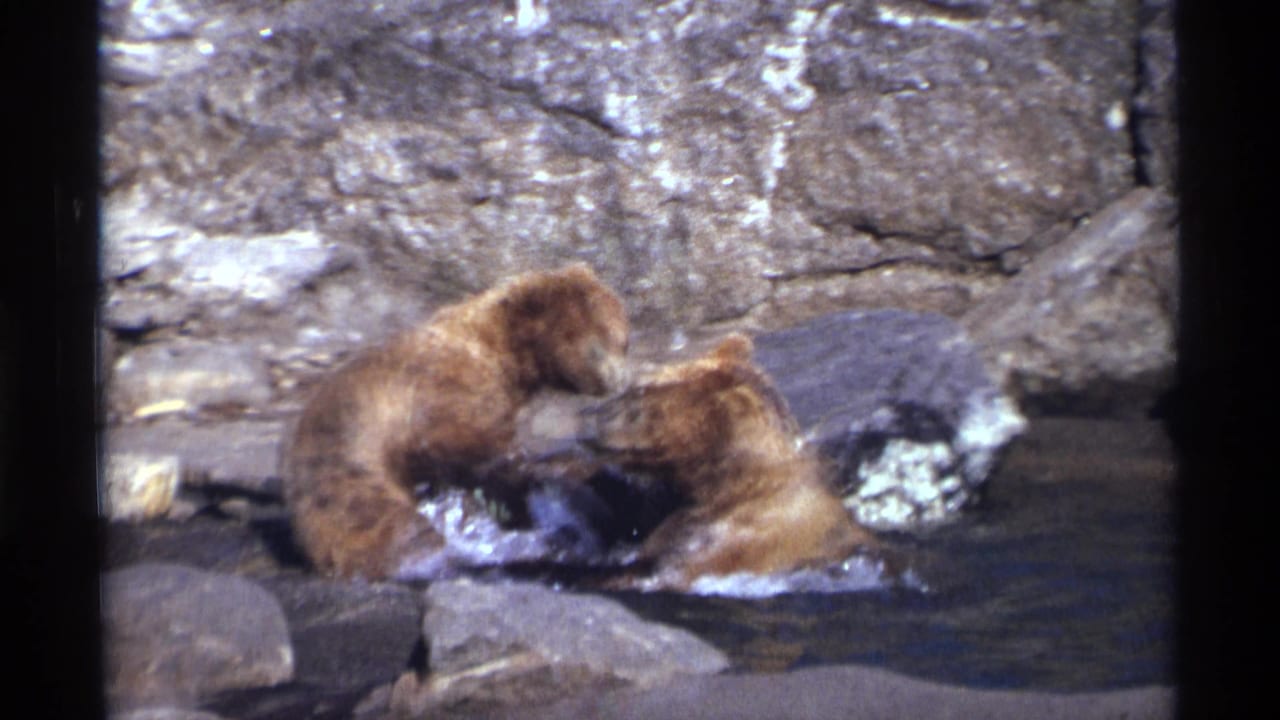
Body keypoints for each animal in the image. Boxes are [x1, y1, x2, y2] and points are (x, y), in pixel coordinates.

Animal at [281, 263, 630, 580]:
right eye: (598, 348)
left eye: (624, 341)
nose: (618, 381)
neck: (501, 353)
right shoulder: (443, 392)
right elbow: (482, 450)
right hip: (354, 490)